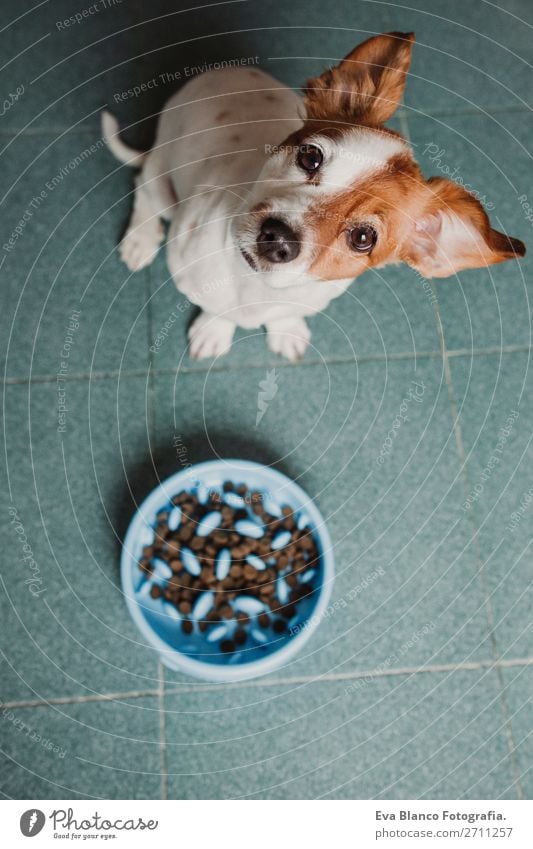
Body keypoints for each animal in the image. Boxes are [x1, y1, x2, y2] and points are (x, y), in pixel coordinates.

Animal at [103, 30, 524, 358]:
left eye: (363, 237)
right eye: (310, 156)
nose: (276, 239)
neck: (254, 284)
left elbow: (283, 314)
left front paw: (285, 328)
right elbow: (216, 307)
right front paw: (214, 328)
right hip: (161, 182)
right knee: (143, 190)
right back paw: (140, 238)